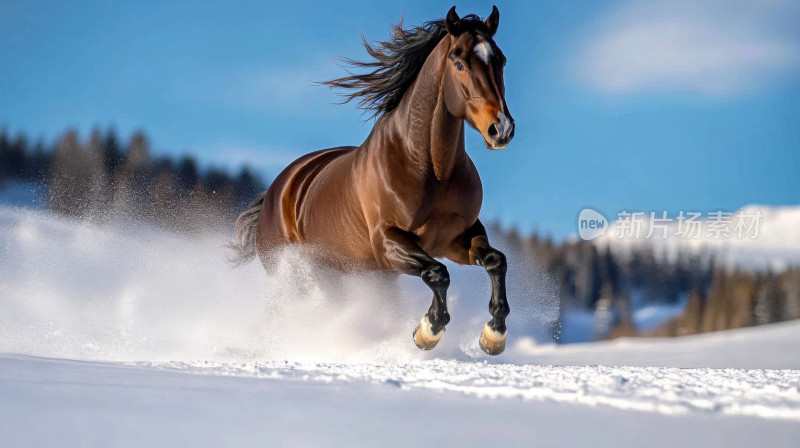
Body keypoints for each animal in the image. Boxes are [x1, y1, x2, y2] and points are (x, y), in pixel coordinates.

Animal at [230, 5, 520, 356]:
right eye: (459, 62)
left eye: (501, 60)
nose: (501, 128)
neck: (432, 170)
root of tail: (278, 188)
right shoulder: (388, 243)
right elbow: (437, 273)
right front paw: (428, 331)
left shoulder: (456, 238)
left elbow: (496, 261)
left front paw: (494, 335)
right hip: (302, 272)